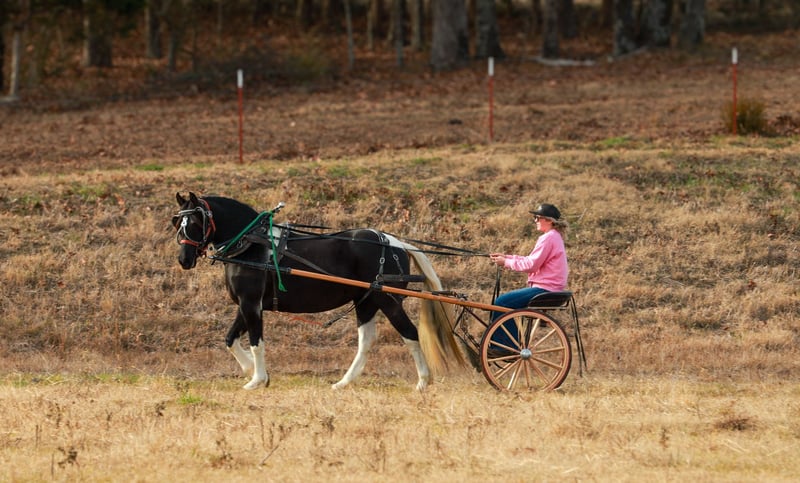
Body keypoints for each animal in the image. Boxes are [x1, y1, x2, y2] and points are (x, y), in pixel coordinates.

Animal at [172, 192, 463, 390]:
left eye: (195, 222)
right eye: (177, 224)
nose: (184, 260)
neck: (252, 244)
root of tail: (396, 242)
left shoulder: (251, 304)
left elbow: (256, 342)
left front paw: (257, 379)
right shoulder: (247, 305)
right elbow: (230, 339)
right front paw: (250, 371)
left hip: (388, 300)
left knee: (410, 334)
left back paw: (423, 381)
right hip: (366, 302)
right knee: (366, 341)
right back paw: (344, 382)